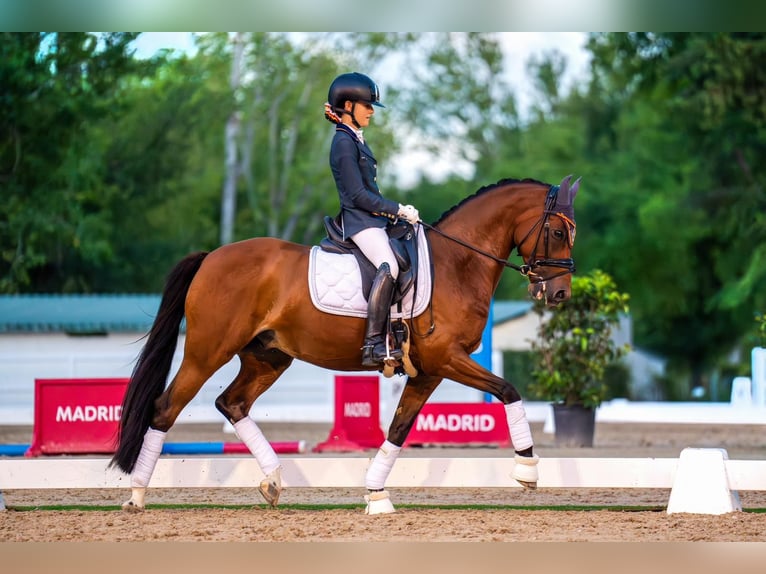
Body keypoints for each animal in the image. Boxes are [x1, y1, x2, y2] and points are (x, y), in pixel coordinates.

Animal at [111, 173, 584, 516]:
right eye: (559, 233)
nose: (560, 294)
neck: (458, 264)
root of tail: (210, 257)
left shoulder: (428, 370)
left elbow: (398, 429)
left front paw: (376, 495)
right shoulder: (447, 358)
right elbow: (508, 390)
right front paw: (527, 469)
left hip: (267, 357)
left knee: (232, 403)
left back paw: (273, 481)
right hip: (207, 352)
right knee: (165, 408)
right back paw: (136, 497)